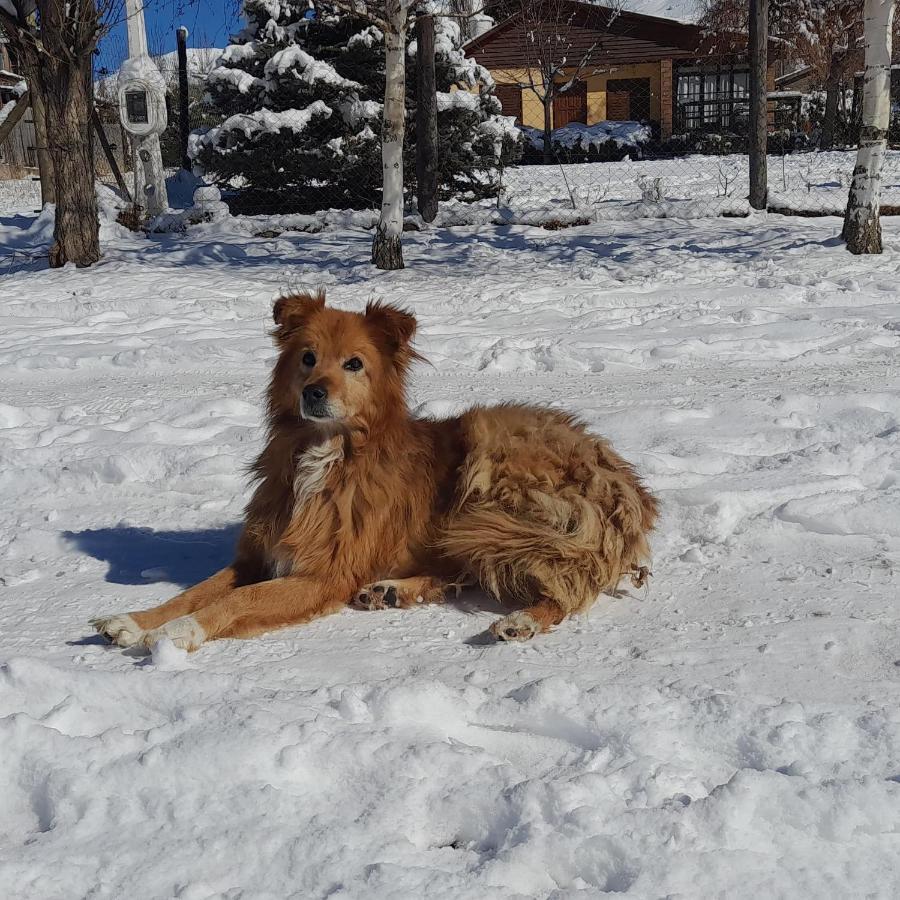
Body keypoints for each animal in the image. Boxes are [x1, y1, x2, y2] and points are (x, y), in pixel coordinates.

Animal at [91, 292, 656, 652]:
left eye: (354, 364)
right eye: (307, 357)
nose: (313, 392)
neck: (327, 456)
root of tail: (626, 482)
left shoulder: (323, 575)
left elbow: (237, 599)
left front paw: (178, 633)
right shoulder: (259, 556)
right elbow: (195, 590)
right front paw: (134, 621)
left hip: (495, 479)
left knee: (566, 586)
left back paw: (522, 621)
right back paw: (392, 590)